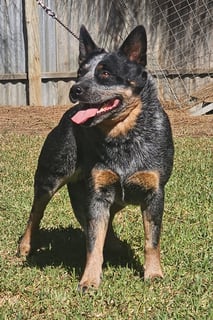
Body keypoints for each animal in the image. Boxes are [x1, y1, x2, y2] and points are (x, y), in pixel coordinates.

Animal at [18, 24, 174, 290]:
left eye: (105, 73)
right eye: (80, 73)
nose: (75, 89)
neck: (124, 136)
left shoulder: (154, 192)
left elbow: (151, 240)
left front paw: (153, 274)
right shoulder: (98, 193)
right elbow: (93, 243)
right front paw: (89, 280)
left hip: (113, 197)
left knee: (106, 221)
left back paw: (115, 244)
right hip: (51, 177)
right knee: (35, 213)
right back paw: (25, 247)